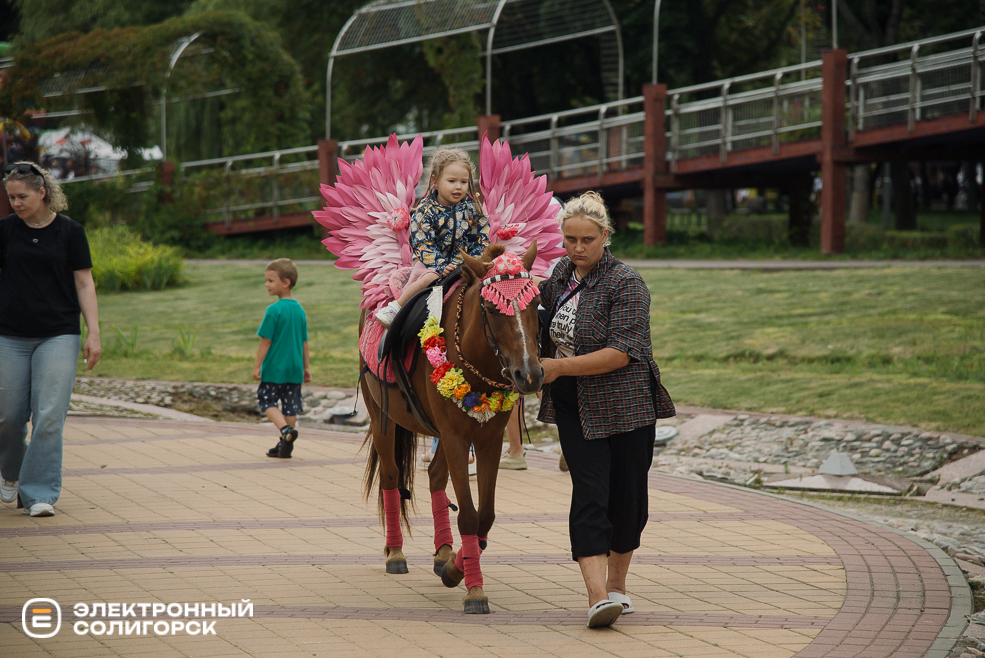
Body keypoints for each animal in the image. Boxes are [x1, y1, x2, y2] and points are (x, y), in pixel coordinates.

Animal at [360, 240, 544, 608]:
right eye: (490, 307)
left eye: (535, 303)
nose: (529, 374)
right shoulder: (457, 436)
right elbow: (470, 515)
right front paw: (474, 590)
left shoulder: (488, 439)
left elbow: (485, 514)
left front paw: (456, 568)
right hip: (382, 416)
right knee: (391, 476)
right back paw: (395, 553)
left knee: (434, 477)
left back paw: (443, 552)